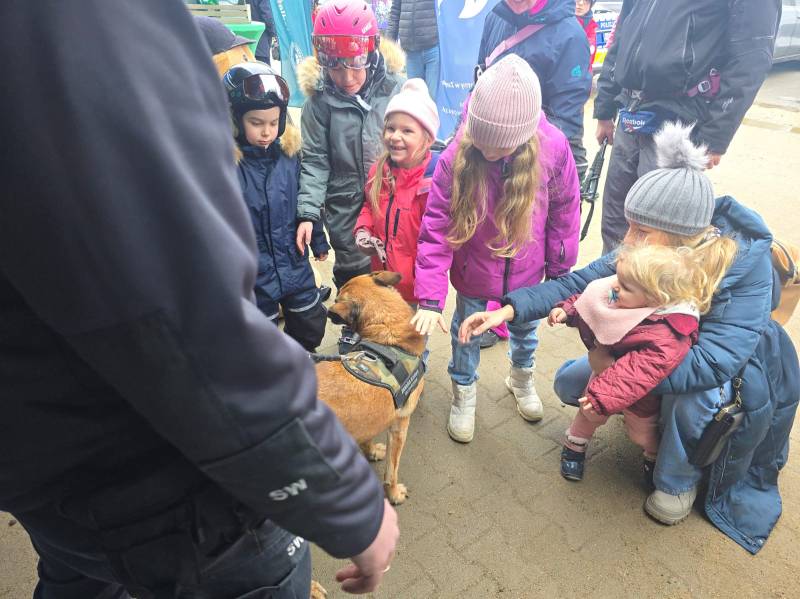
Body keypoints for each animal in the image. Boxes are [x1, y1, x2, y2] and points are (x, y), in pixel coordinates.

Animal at [316, 271, 425, 506]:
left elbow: (367, 440)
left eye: (337, 298)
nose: (328, 311)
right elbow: (392, 471)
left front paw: (372, 451)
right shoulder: (399, 426)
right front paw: (393, 493)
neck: (388, 332)